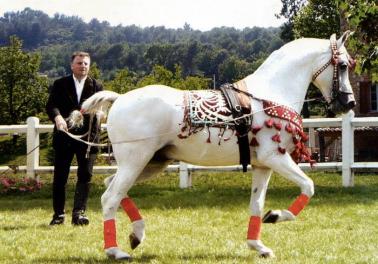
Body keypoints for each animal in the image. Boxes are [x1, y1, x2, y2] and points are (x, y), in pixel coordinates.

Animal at [69, 31, 356, 260]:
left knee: (112, 189)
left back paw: (136, 234)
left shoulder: (263, 165)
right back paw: (115, 250)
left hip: (151, 163)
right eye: (342, 65)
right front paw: (276, 216)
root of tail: (119, 99)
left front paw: (258, 245)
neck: (270, 95)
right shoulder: (275, 157)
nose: (349, 103)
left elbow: (257, 204)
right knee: (110, 197)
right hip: (135, 161)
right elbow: (308, 186)